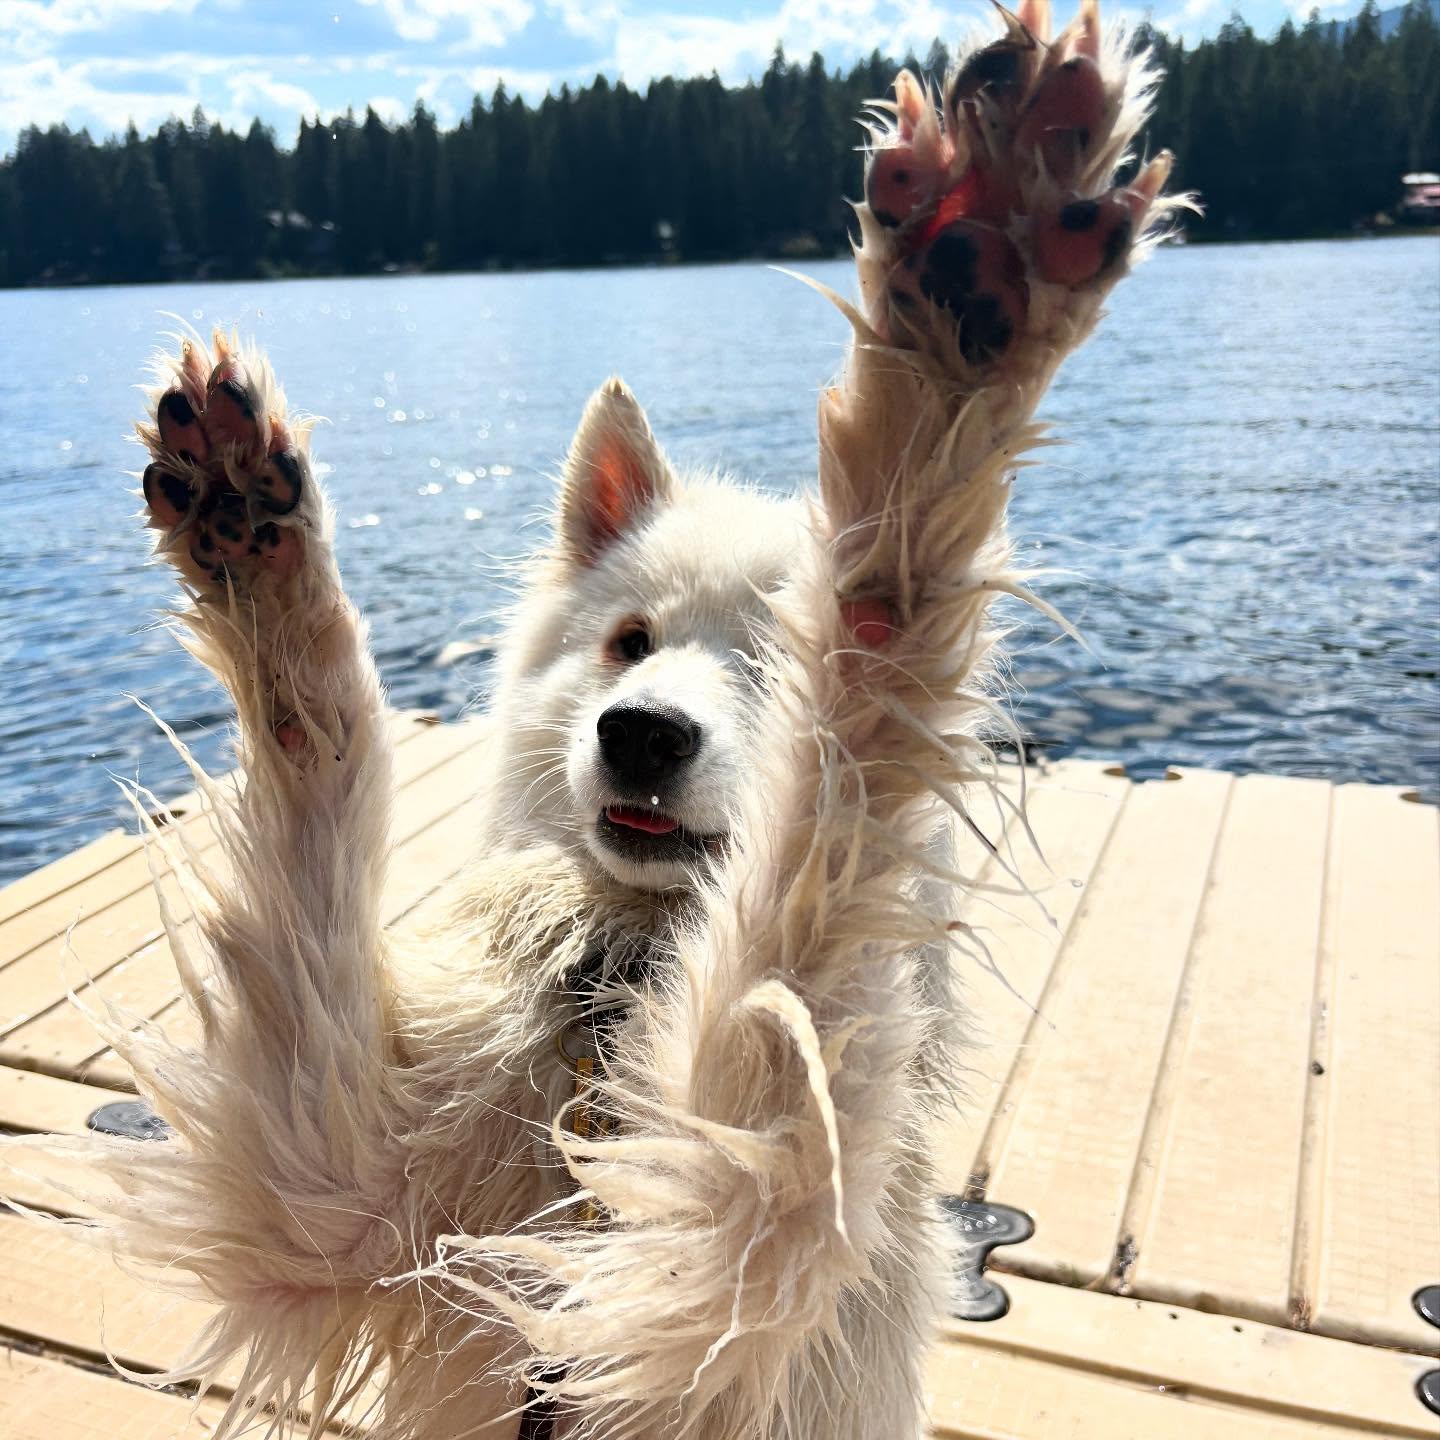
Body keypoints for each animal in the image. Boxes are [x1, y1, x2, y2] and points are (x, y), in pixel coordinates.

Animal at [9, 3, 1179, 1436]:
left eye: (768, 661)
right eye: (630, 643)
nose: (641, 732)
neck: (620, 983)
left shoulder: (726, 1246)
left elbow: (858, 709)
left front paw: (958, 334)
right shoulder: (330, 1184)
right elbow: (316, 791)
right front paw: (263, 559)